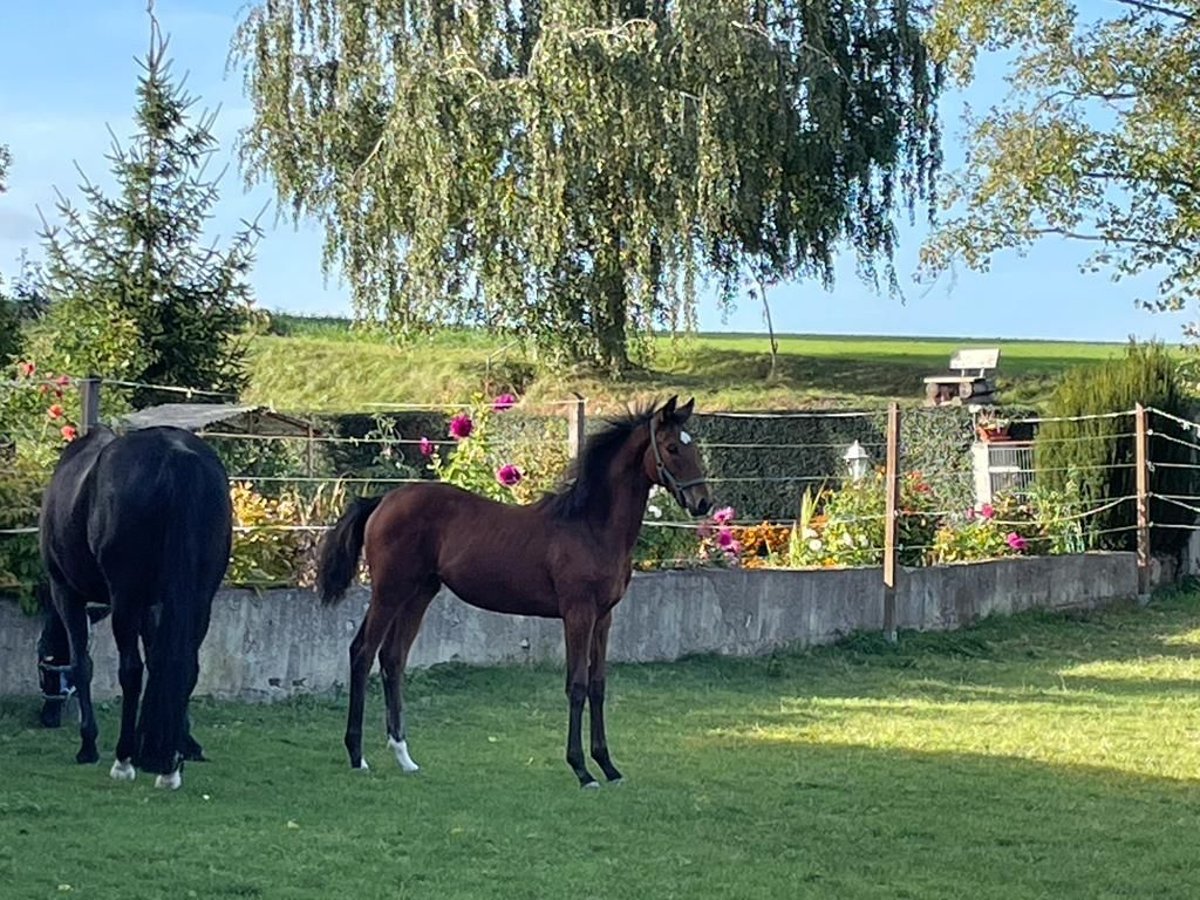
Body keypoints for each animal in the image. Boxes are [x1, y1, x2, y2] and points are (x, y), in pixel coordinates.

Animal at [39, 427, 231, 792]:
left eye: (46, 666)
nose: (48, 717)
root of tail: (177, 454)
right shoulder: (155, 605)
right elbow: (160, 661)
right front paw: (180, 743)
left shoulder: (66, 591)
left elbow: (82, 665)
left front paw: (88, 745)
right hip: (200, 599)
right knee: (186, 667)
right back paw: (168, 766)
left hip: (126, 599)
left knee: (130, 671)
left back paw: (124, 759)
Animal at [319, 398, 710, 787]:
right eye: (672, 448)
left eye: (693, 446)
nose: (703, 503)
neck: (590, 526)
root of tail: (382, 500)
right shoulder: (578, 614)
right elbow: (577, 685)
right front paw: (582, 770)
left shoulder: (604, 617)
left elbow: (598, 685)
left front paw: (608, 766)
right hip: (389, 591)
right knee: (363, 653)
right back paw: (357, 755)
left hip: (418, 593)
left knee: (393, 658)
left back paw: (404, 757)